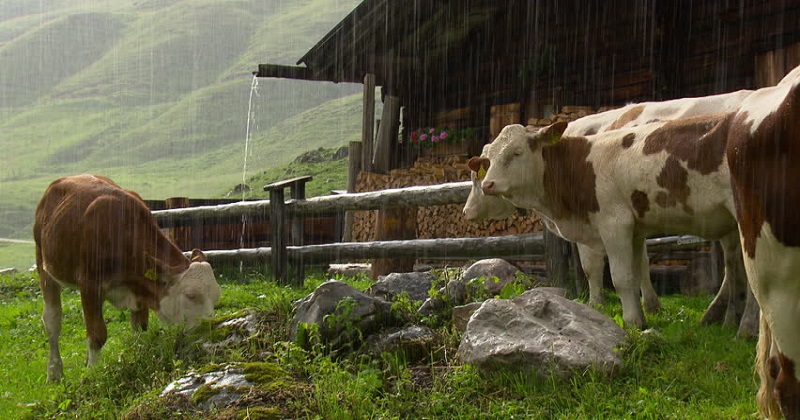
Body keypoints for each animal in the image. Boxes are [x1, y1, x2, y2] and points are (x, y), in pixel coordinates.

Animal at [33, 174, 222, 380]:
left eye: (216, 296)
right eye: (190, 295)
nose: (210, 329)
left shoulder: (141, 288)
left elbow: (139, 329)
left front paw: (137, 359)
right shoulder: (90, 285)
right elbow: (97, 335)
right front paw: (93, 375)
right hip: (44, 266)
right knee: (52, 320)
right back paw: (54, 372)